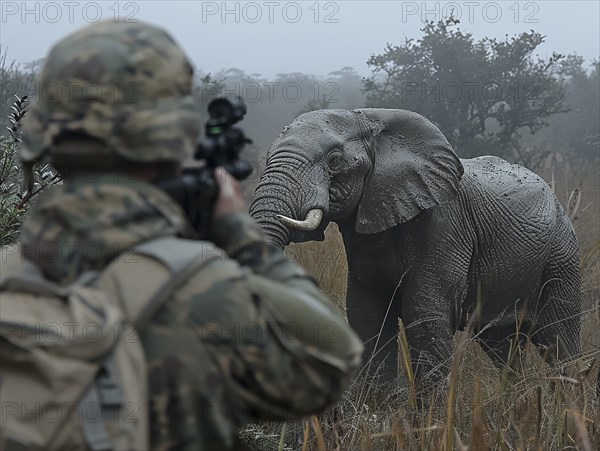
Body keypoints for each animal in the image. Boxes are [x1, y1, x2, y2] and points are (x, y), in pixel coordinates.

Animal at [248, 108, 580, 388]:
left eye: (334, 160)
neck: (372, 121)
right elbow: (367, 317)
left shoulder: (445, 227)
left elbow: (424, 317)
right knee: (503, 346)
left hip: (562, 254)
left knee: (558, 340)